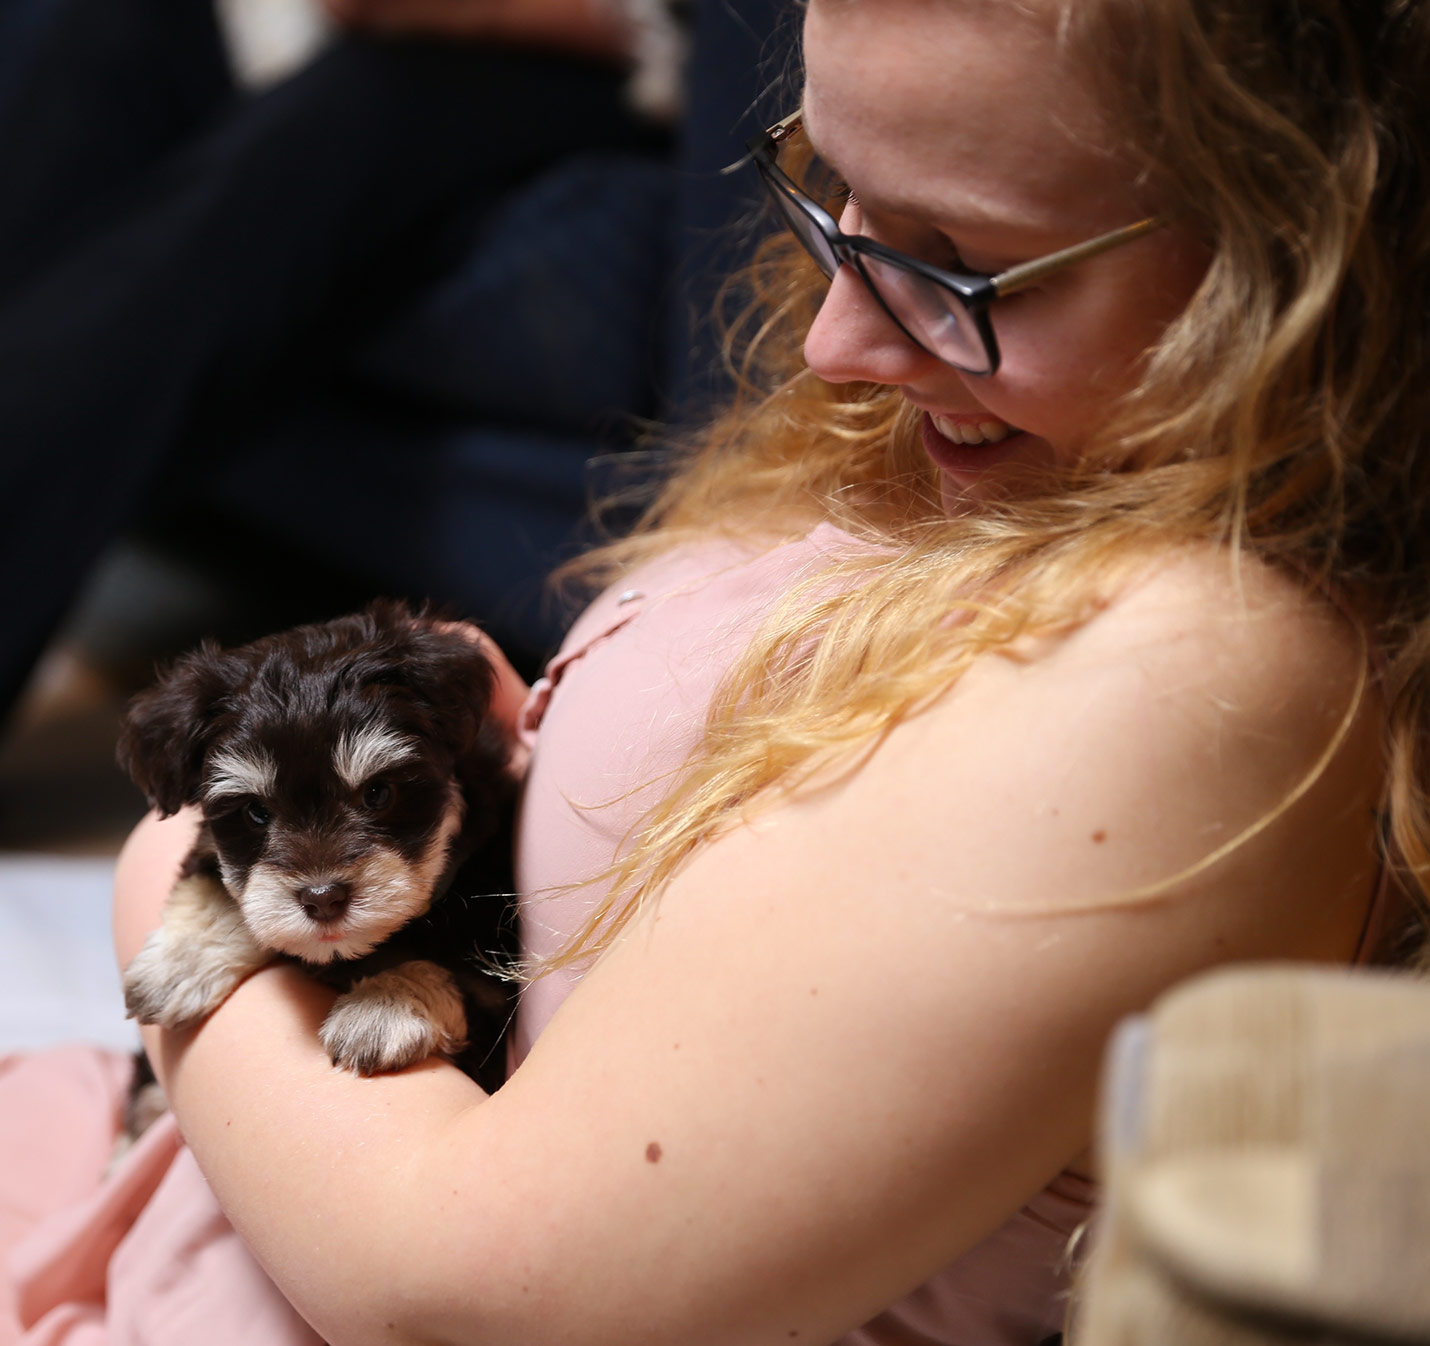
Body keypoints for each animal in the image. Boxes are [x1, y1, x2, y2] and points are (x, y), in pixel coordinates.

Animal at [118, 603, 520, 1087]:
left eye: (378, 793)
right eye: (256, 812)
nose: (323, 899)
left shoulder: (496, 994)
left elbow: (450, 974)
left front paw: (382, 1009)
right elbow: (219, 883)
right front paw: (177, 963)